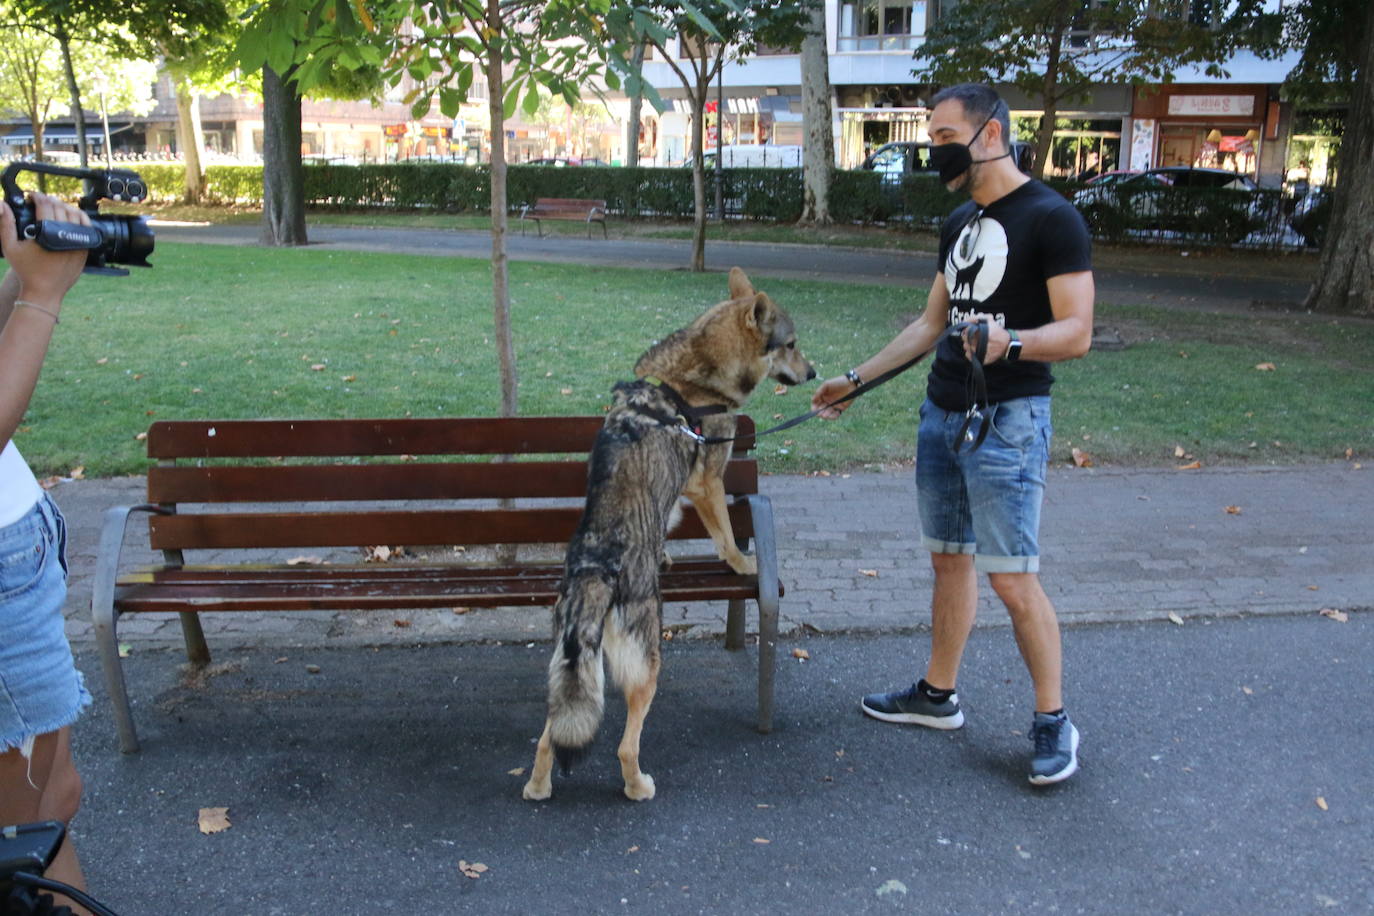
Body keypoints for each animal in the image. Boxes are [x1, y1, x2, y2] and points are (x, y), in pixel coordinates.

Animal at [519, 266, 807, 802]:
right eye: (792, 345)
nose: (815, 373)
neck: (689, 378)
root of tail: (597, 570)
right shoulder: (708, 480)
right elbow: (725, 538)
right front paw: (742, 563)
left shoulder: (679, 491)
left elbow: (668, 524)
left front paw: (666, 557)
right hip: (647, 667)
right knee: (624, 746)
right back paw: (638, 787)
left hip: (572, 671)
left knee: (553, 735)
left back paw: (538, 787)